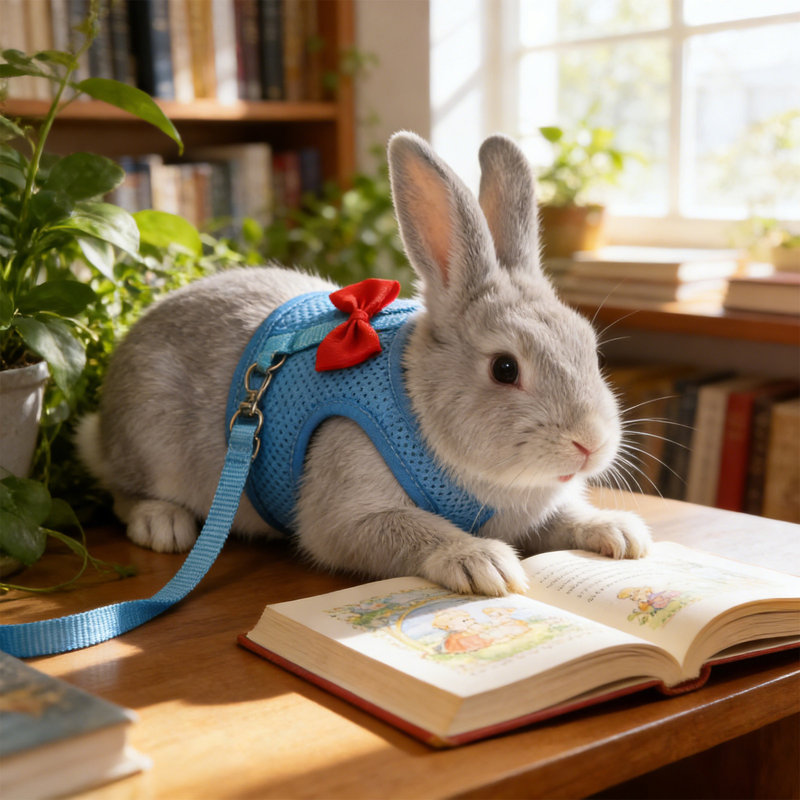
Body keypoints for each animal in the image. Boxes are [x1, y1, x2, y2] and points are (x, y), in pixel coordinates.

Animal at [77, 131, 651, 597]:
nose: (590, 443)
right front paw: (482, 563)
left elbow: (568, 516)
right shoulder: (346, 513)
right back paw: (163, 523)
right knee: (120, 489)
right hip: (146, 438)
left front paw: (621, 534)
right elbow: (411, 530)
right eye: (505, 369)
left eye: (590, 348)